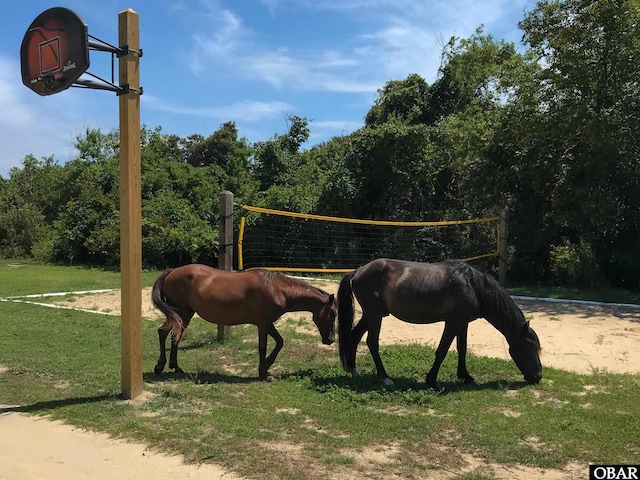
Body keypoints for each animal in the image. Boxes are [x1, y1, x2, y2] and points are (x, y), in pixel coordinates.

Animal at [152, 264, 338, 380]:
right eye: (334, 313)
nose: (330, 339)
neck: (277, 289)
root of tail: (172, 271)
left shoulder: (267, 323)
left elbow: (279, 342)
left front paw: (266, 367)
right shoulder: (263, 324)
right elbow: (263, 347)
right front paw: (264, 373)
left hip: (184, 315)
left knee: (174, 335)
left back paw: (175, 367)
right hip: (181, 313)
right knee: (164, 333)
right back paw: (160, 366)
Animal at [338, 256, 544, 388]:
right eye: (530, 346)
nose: (538, 376)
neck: (473, 286)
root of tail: (358, 271)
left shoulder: (463, 323)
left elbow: (462, 348)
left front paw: (465, 376)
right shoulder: (452, 323)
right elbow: (443, 350)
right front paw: (431, 380)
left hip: (372, 315)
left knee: (354, 336)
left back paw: (353, 370)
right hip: (375, 316)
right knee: (372, 342)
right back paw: (385, 378)